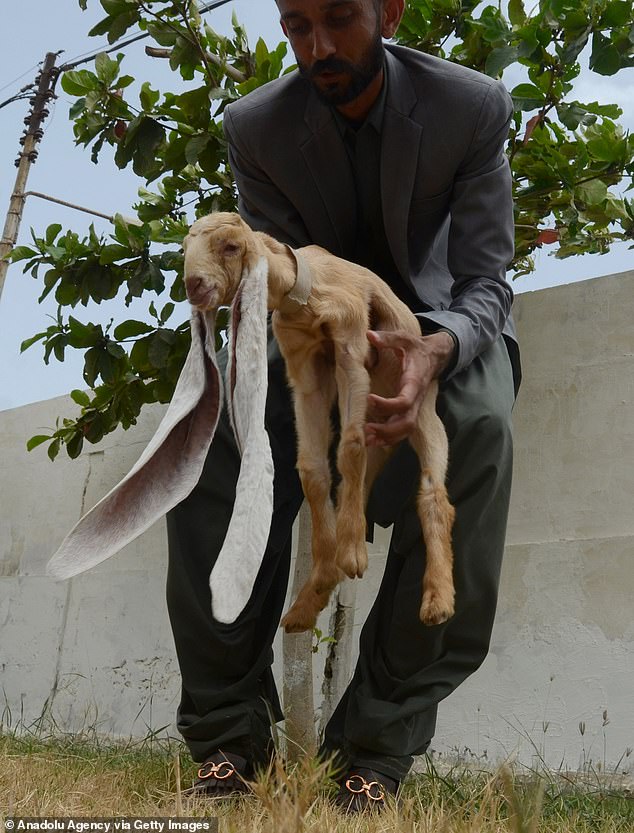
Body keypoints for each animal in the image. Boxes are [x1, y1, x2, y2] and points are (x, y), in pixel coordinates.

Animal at [183, 211, 454, 632]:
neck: (306, 296)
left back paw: (437, 600)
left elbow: (349, 447)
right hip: (380, 424)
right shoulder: (304, 370)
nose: (192, 285)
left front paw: (352, 558)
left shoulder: (351, 347)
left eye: (230, 246)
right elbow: (313, 470)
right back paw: (309, 599)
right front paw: (328, 572)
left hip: (420, 404)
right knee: (360, 479)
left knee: (433, 493)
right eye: (184, 249)